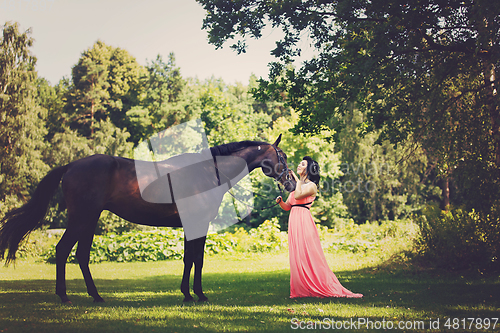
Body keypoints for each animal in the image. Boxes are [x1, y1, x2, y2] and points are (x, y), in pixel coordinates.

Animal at [0, 136, 292, 304]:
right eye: (283, 156)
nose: (290, 181)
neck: (209, 172)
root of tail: (71, 166)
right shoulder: (198, 224)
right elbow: (196, 259)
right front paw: (197, 294)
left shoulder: (192, 226)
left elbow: (190, 258)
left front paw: (187, 293)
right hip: (83, 218)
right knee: (64, 251)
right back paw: (68, 296)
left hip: (88, 221)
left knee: (80, 255)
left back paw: (93, 296)